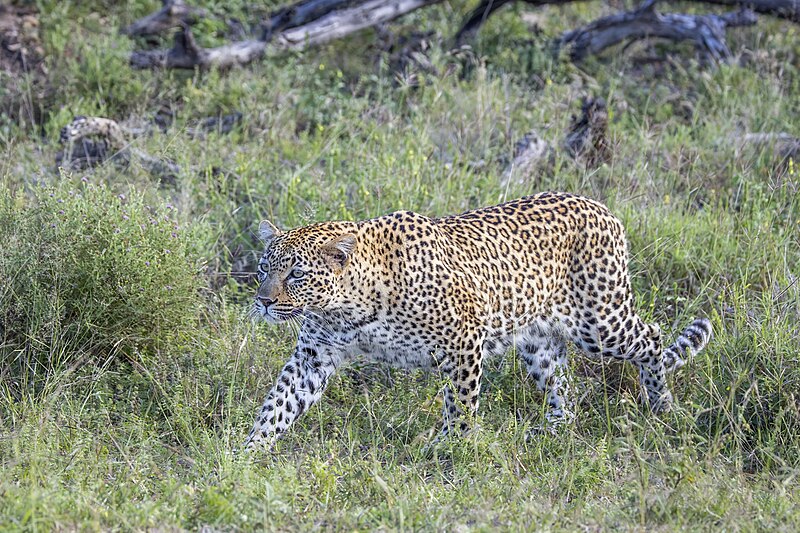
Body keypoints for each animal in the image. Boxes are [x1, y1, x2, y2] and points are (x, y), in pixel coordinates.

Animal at [245, 191, 712, 448]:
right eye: (265, 267)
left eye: (296, 274)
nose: (263, 301)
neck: (347, 308)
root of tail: (604, 209)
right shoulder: (313, 356)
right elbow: (278, 404)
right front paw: (247, 454)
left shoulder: (463, 340)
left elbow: (461, 403)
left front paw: (452, 450)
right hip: (539, 341)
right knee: (563, 386)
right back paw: (551, 431)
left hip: (600, 322)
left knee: (651, 338)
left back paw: (662, 405)